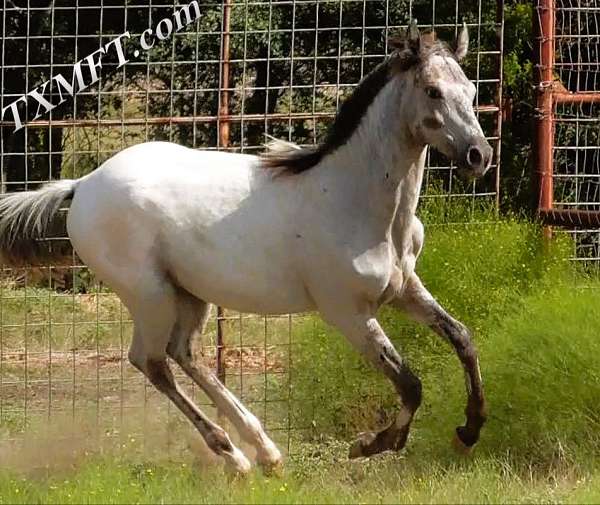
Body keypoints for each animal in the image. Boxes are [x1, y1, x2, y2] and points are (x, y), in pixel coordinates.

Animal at [0, 22, 490, 472]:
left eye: (470, 89)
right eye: (432, 91)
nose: (479, 156)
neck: (356, 203)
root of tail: (82, 185)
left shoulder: (405, 289)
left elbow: (463, 338)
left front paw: (469, 430)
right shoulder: (347, 312)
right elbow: (409, 383)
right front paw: (371, 444)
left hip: (189, 294)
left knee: (184, 353)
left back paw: (262, 450)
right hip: (149, 294)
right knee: (152, 361)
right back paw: (235, 455)